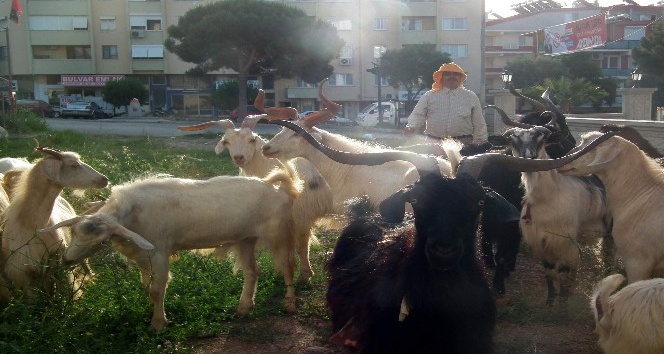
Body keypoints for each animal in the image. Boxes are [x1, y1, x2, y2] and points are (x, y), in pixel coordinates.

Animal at [40, 170, 298, 330]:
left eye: (101, 242)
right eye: (75, 233)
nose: (66, 260)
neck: (134, 214)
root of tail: (281, 190)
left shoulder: (160, 252)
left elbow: (157, 290)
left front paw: (158, 324)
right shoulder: (144, 256)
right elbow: (147, 287)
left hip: (280, 235)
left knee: (288, 267)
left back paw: (290, 304)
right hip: (245, 239)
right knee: (252, 271)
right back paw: (244, 308)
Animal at [176, 116, 334, 282]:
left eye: (251, 139)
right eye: (226, 141)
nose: (239, 157)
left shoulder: (301, 215)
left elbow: (301, 246)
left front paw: (305, 275)